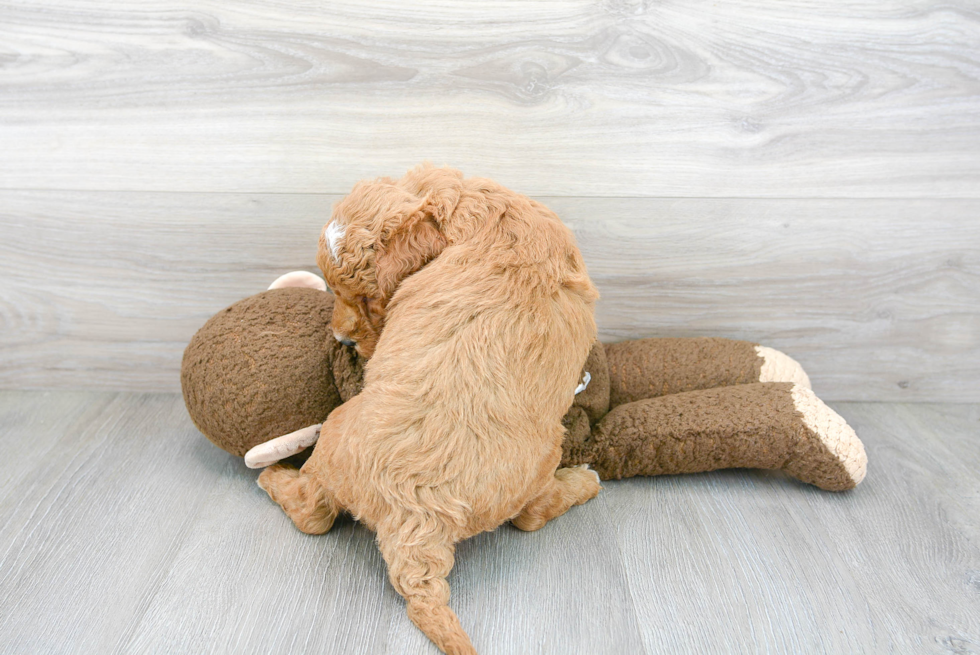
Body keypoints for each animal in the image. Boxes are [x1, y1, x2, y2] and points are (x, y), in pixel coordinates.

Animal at [256, 165, 600, 655]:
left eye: (368, 299)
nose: (341, 339)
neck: (470, 207)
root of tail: (415, 518)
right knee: (528, 516)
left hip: (339, 436)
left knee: (313, 513)